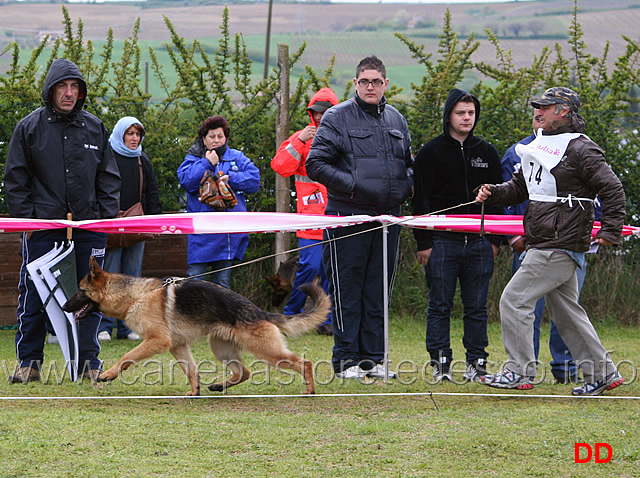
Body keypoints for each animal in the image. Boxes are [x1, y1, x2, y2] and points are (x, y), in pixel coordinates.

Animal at [62, 258, 330, 396]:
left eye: (80, 291)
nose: (64, 306)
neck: (135, 296)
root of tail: (258, 311)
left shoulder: (156, 341)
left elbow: (127, 356)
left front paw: (108, 374)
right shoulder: (178, 346)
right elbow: (190, 370)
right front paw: (195, 391)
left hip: (266, 351)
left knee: (304, 362)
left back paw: (310, 390)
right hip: (221, 349)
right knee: (243, 371)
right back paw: (219, 385)